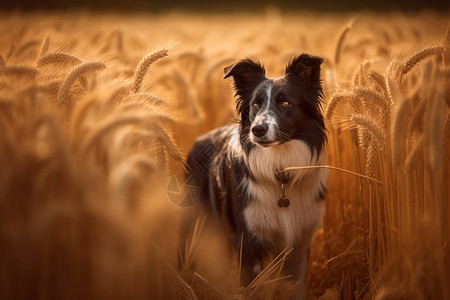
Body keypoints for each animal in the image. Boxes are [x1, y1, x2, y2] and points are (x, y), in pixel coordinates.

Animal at [183, 53, 326, 298]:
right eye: (255, 105)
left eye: (285, 103)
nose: (257, 130)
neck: (280, 169)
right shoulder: (248, 241)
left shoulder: (300, 241)